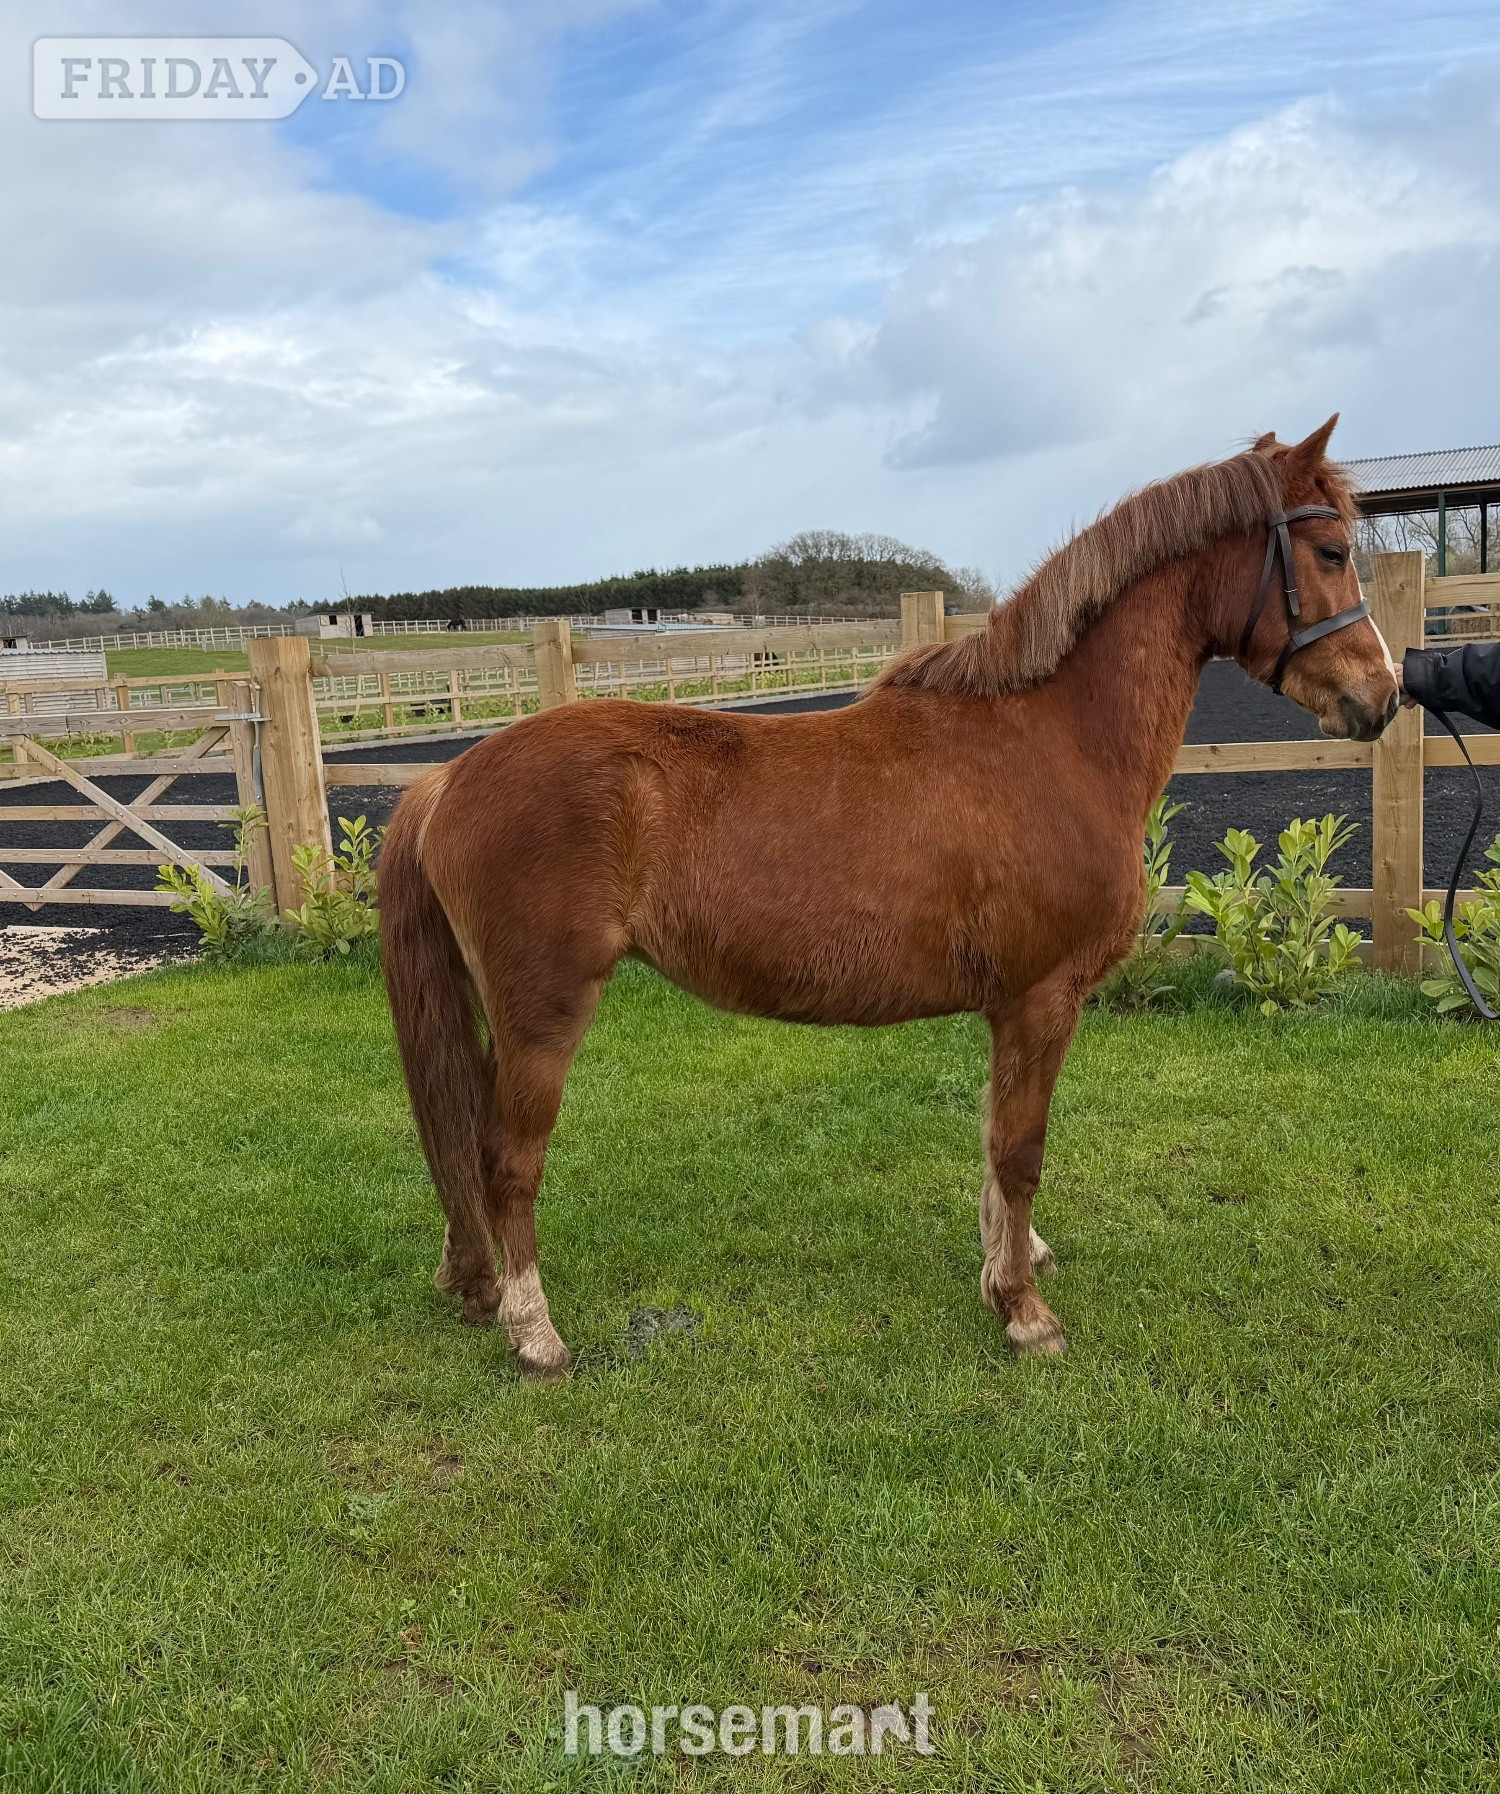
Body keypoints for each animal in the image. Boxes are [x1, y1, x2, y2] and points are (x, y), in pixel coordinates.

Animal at [380, 416, 1397, 1377]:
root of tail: (450, 776)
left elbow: (994, 1139)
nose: (1381, 698)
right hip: (544, 1016)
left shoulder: (1010, 1009)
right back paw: (535, 1335)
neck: (1051, 738)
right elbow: (1020, 1150)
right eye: (1331, 551)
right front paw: (1023, 1311)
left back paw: (478, 1288)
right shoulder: (1041, 999)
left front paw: (1011, 1259)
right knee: (508, 1162)